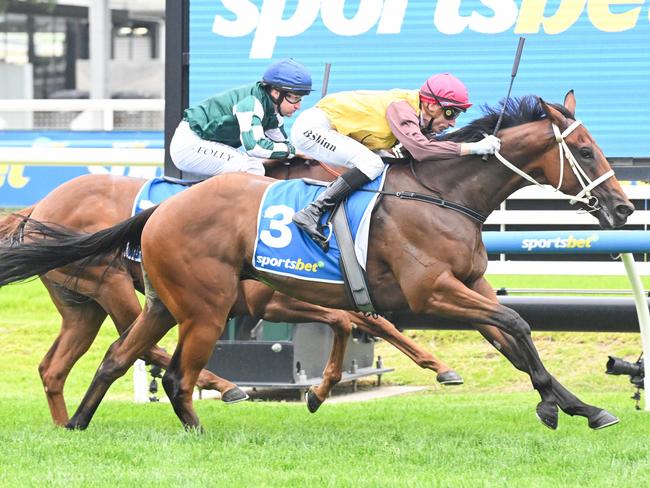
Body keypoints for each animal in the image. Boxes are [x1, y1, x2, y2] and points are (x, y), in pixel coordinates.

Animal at [0, 163, 460, 424]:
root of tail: (36, 208)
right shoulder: (272, 299)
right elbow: (353, 318)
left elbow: (361, 319)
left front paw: (438, 366)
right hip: (114, 286)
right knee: (141, 346)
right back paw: (222, 386)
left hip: (83, 307)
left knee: (56, 367)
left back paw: (65, 424)